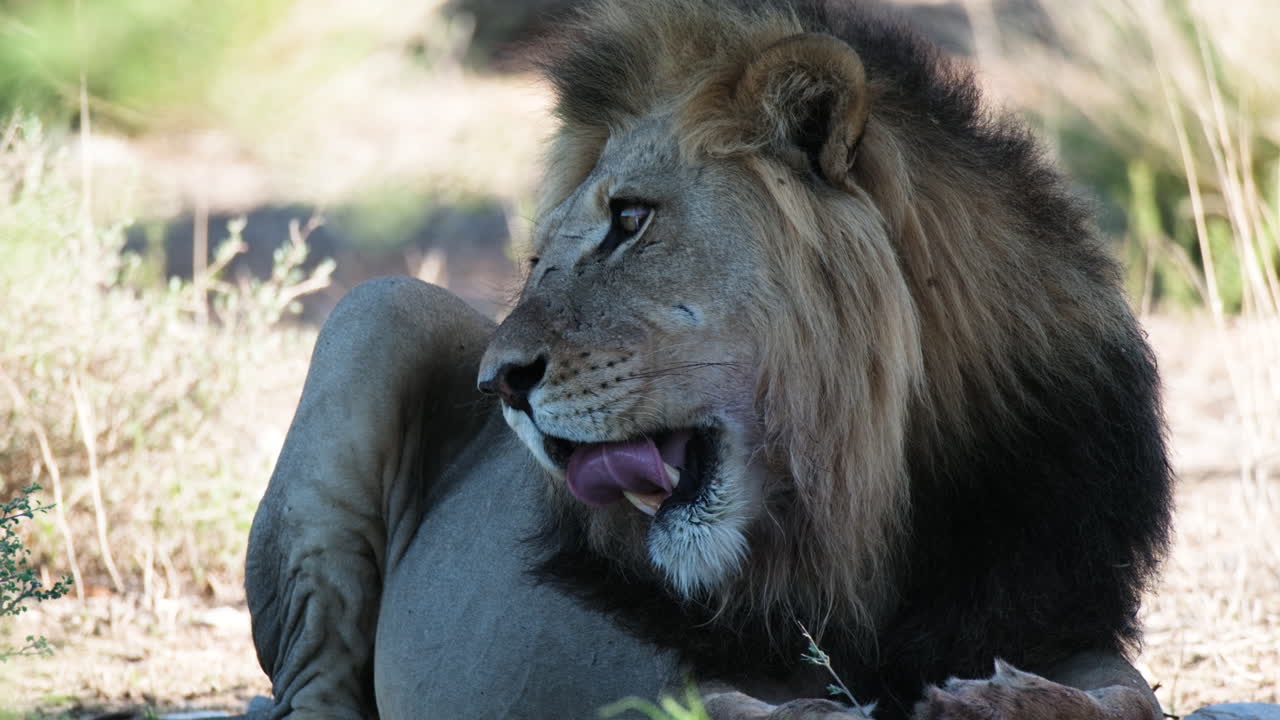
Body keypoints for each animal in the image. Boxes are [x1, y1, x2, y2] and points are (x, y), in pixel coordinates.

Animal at [243, 1, 1174, 719]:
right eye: (539, 261)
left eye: (629, 220)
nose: (498, 384)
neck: (864, 501)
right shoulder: (600, 649)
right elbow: (717, 698)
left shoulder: (1049, 609)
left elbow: (1132, 694)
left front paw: (999, 698)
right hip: (374, 312)